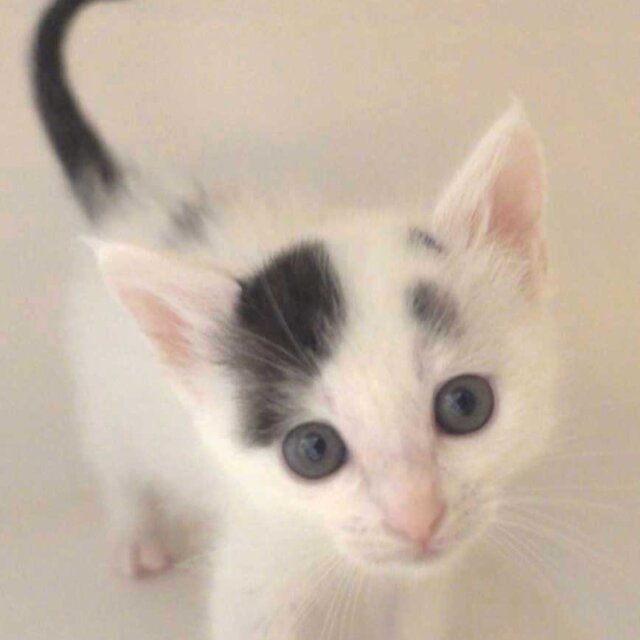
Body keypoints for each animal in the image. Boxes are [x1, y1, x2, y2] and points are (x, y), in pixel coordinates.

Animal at [32, 1, 560, 638]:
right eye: (312, 450)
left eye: (465, 403)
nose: (418, 516)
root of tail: (130, 198)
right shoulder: (259, 563)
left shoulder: (426, 579)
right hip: (103, 391)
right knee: (115, 460)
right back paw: (138, 536)